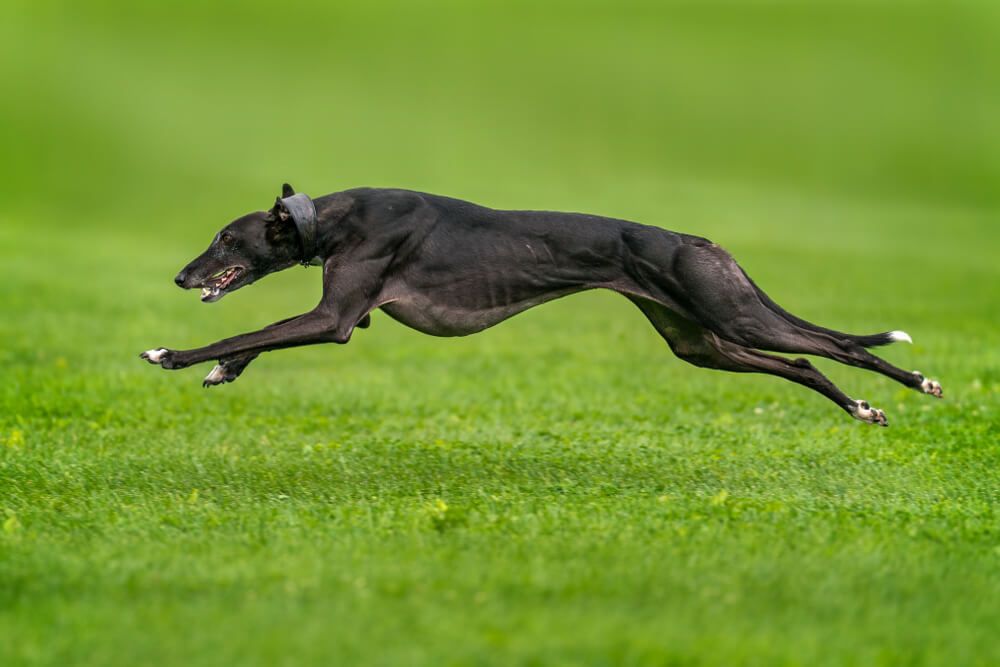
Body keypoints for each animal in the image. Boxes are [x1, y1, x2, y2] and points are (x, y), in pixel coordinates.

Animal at [139, 185, 936, 426]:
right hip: (700, 341)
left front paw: (171, 353)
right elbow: (254, 338)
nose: (180, 276)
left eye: (225, 237)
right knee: (802, 363)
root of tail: (698, 240)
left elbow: (250, 329)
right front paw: (221, 371)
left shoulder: (335, 320)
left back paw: (918, 383)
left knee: (842, 346)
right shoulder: (349, 313)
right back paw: (863, 408)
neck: (333, 218)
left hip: (730, 313)